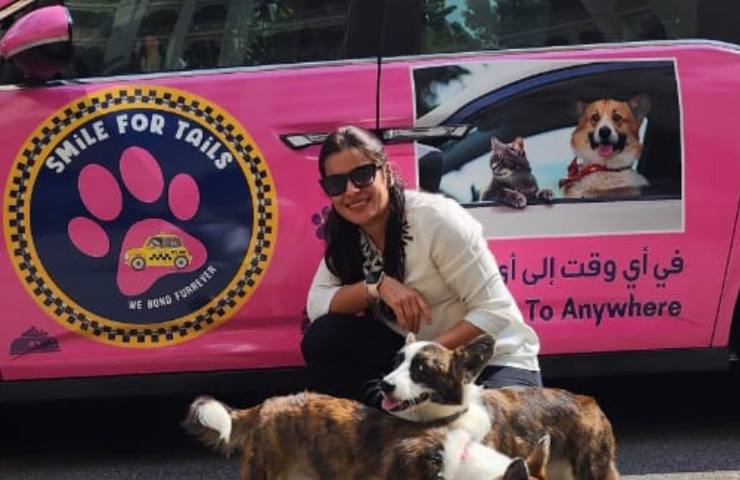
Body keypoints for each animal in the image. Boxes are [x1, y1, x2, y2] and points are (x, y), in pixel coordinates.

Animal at [379, 334, 620, 480]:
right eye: (396, 362)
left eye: (421, 368)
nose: (384, 384)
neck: (445, 419)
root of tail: (589, 401)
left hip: (590, 469)